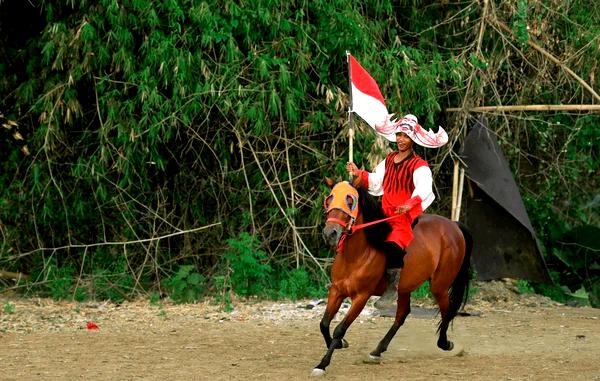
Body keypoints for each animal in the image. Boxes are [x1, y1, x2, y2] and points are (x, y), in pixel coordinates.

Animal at [312, 177, 472, 374]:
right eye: (329, 199)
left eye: (350, 201)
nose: (330, 233)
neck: (355, 255)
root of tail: (454, 225)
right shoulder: (337, 291)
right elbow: (324, 324)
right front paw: (340, 345)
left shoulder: (361, 297)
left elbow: (339, 329)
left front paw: (323, 364)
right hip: (405, 287)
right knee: (403, 314)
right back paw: (378, 350)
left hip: (439, 285)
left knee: (446, 309)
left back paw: (445, 343)